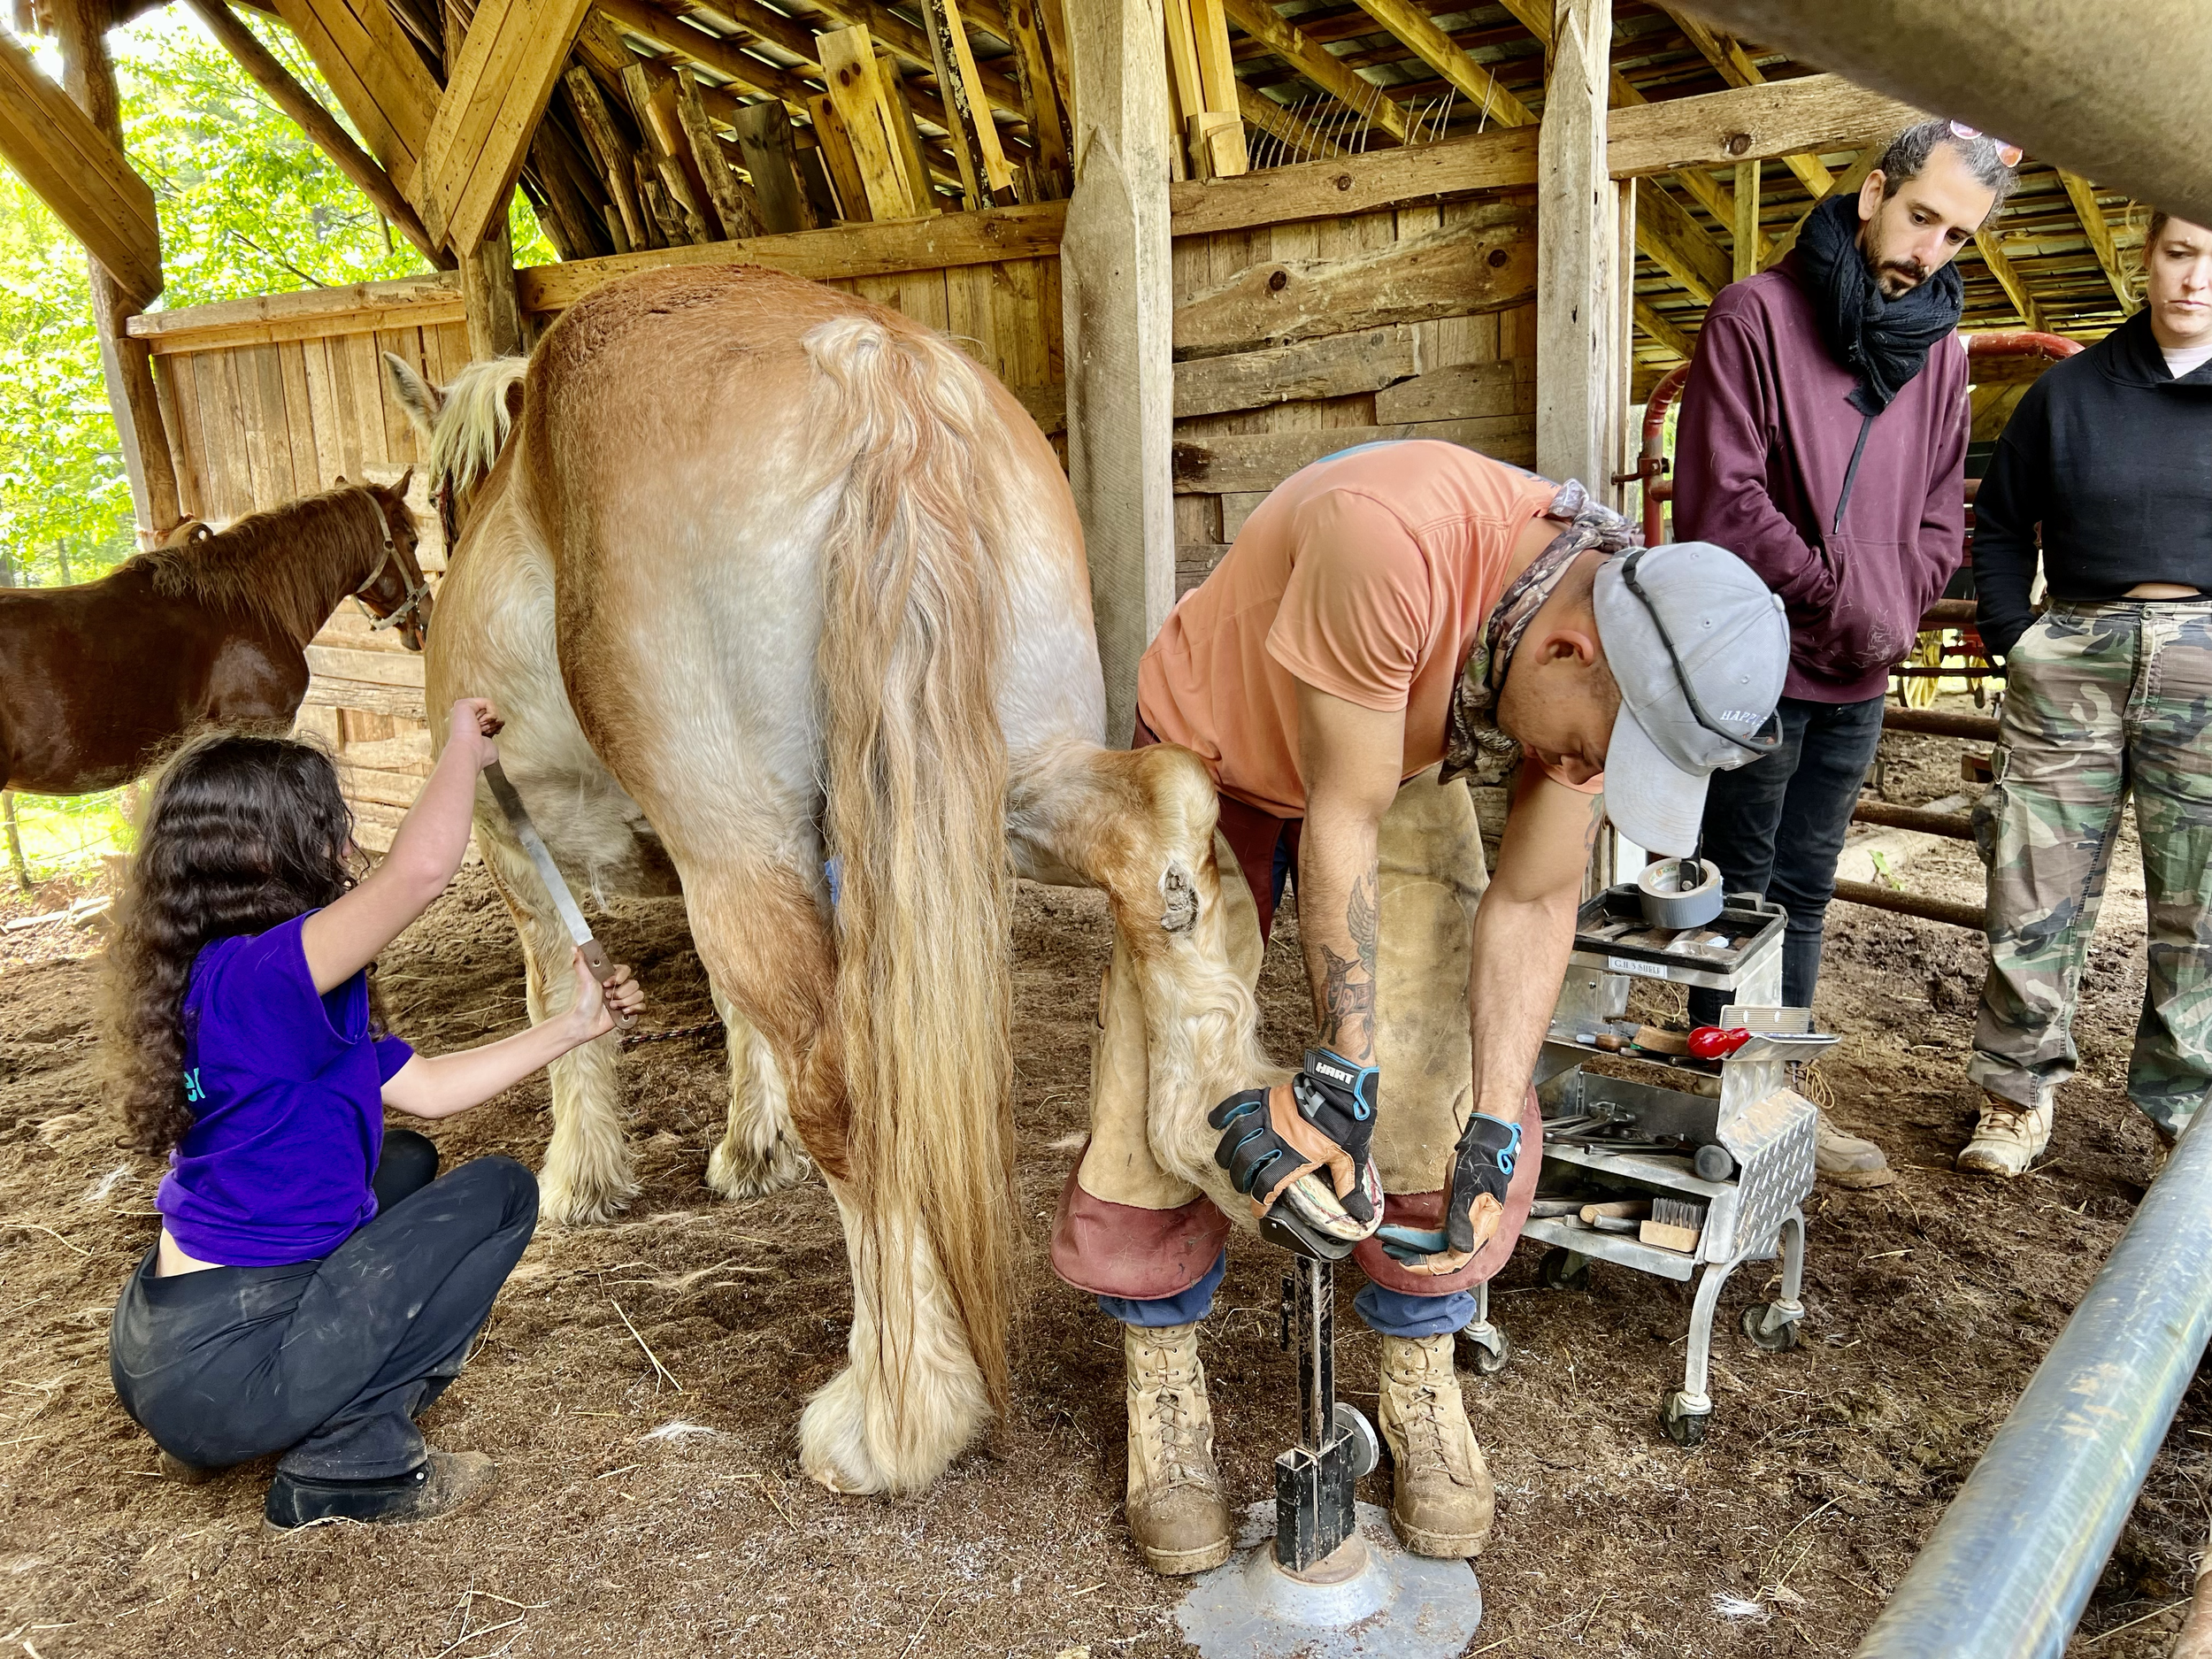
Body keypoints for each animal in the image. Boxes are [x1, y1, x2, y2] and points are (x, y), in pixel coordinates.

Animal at [383, 264, 1282, 1499]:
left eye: (430, 509)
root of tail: (869, 363)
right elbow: (725, 1013)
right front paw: (745, 1151)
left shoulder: (516, 847)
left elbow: (567, 1005)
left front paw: (584, 1178)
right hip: (1007, 784)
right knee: (1161, 817)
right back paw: (1214, 1125)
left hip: (742, 841)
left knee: (852, 1088)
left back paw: (898, 1418)